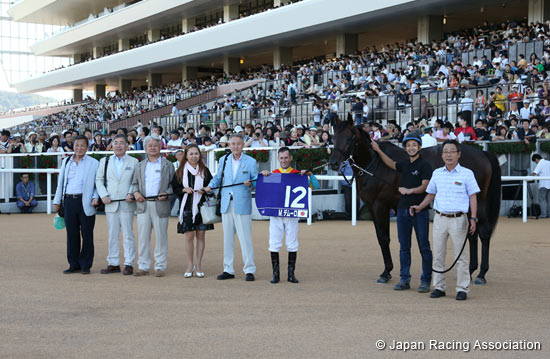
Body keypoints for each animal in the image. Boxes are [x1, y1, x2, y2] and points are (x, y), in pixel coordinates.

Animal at [330, 114, 502, 286]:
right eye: (334, 137)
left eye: (348, 138)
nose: (333, 163)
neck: (376, 164)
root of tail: (483, 154)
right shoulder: (372, 207)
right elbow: (380, 237)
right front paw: (388, 271)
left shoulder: (380, 207)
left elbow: (384, 238)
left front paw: (386, 272)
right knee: (472, 233)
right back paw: (471, 271)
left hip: (478, 202)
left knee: (483, 232)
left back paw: (481, 274)